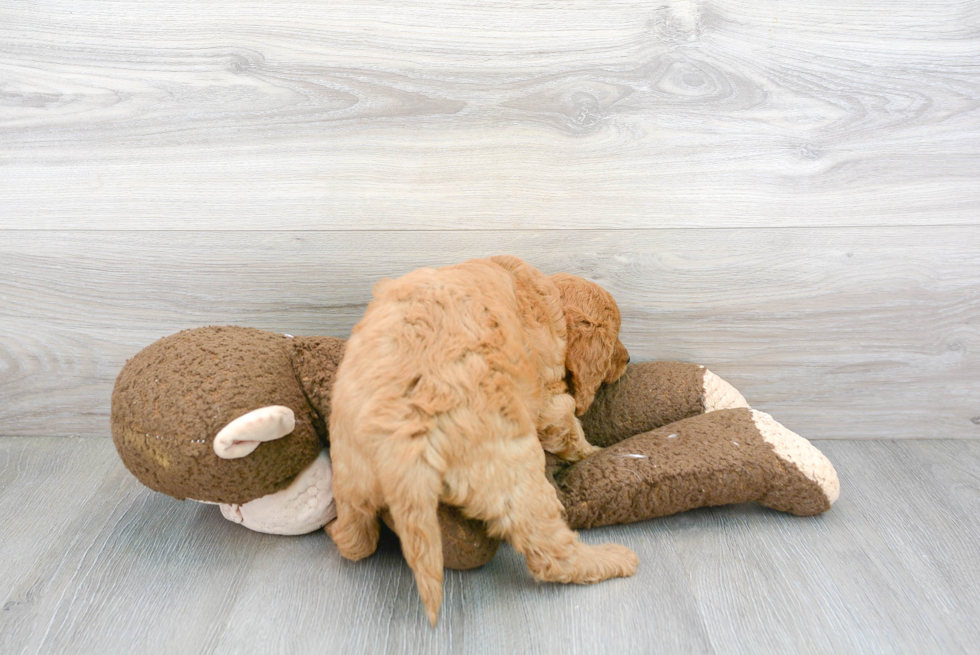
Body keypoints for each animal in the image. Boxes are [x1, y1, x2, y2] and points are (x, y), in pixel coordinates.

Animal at [330, 255, 636, 624]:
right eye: (615, 338)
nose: (629, 358)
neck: (545, 298)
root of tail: (403, 438)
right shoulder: (550, 399)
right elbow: (570, 429)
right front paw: (595, 450)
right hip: (513, 470)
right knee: (549, 554)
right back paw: (613, 559)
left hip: (349, 469)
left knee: (355, 540)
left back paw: (338, 532)